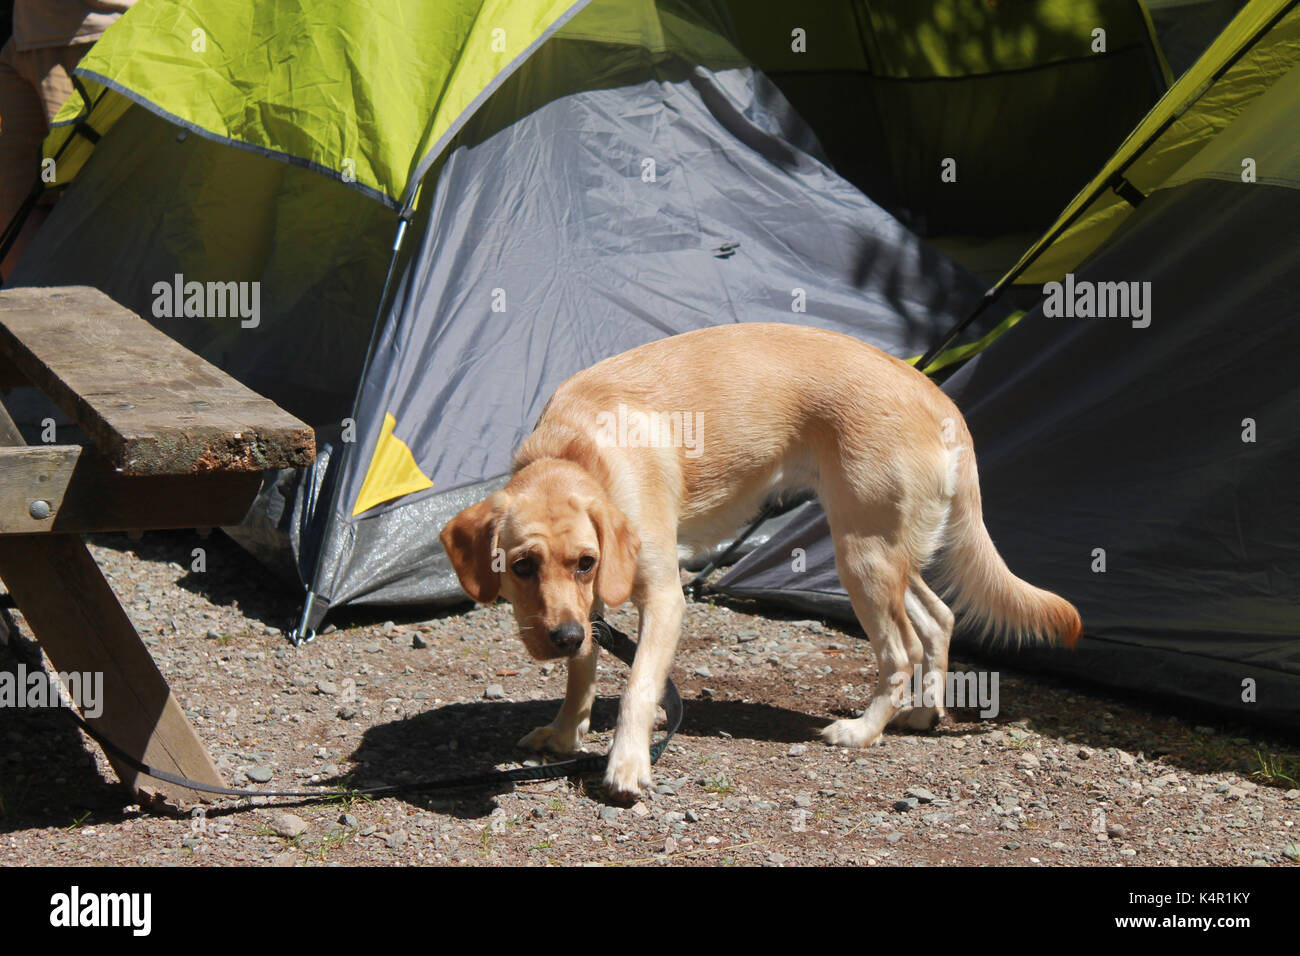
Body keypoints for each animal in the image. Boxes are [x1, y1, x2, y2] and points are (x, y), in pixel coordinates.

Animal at [441, 323, 1081, 801]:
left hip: (862, 559)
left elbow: (637, 688)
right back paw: (923, 714)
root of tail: (939, 398)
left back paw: (862, 731)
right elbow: (582, 677)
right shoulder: (589, 609)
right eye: (522, 566)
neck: (578, 449)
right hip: (887, 553)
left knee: (902, 652)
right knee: (939, 619)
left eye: (583, 561)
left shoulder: (661, 599)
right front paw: (565, 734)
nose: (563, 637)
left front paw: (626, 762)